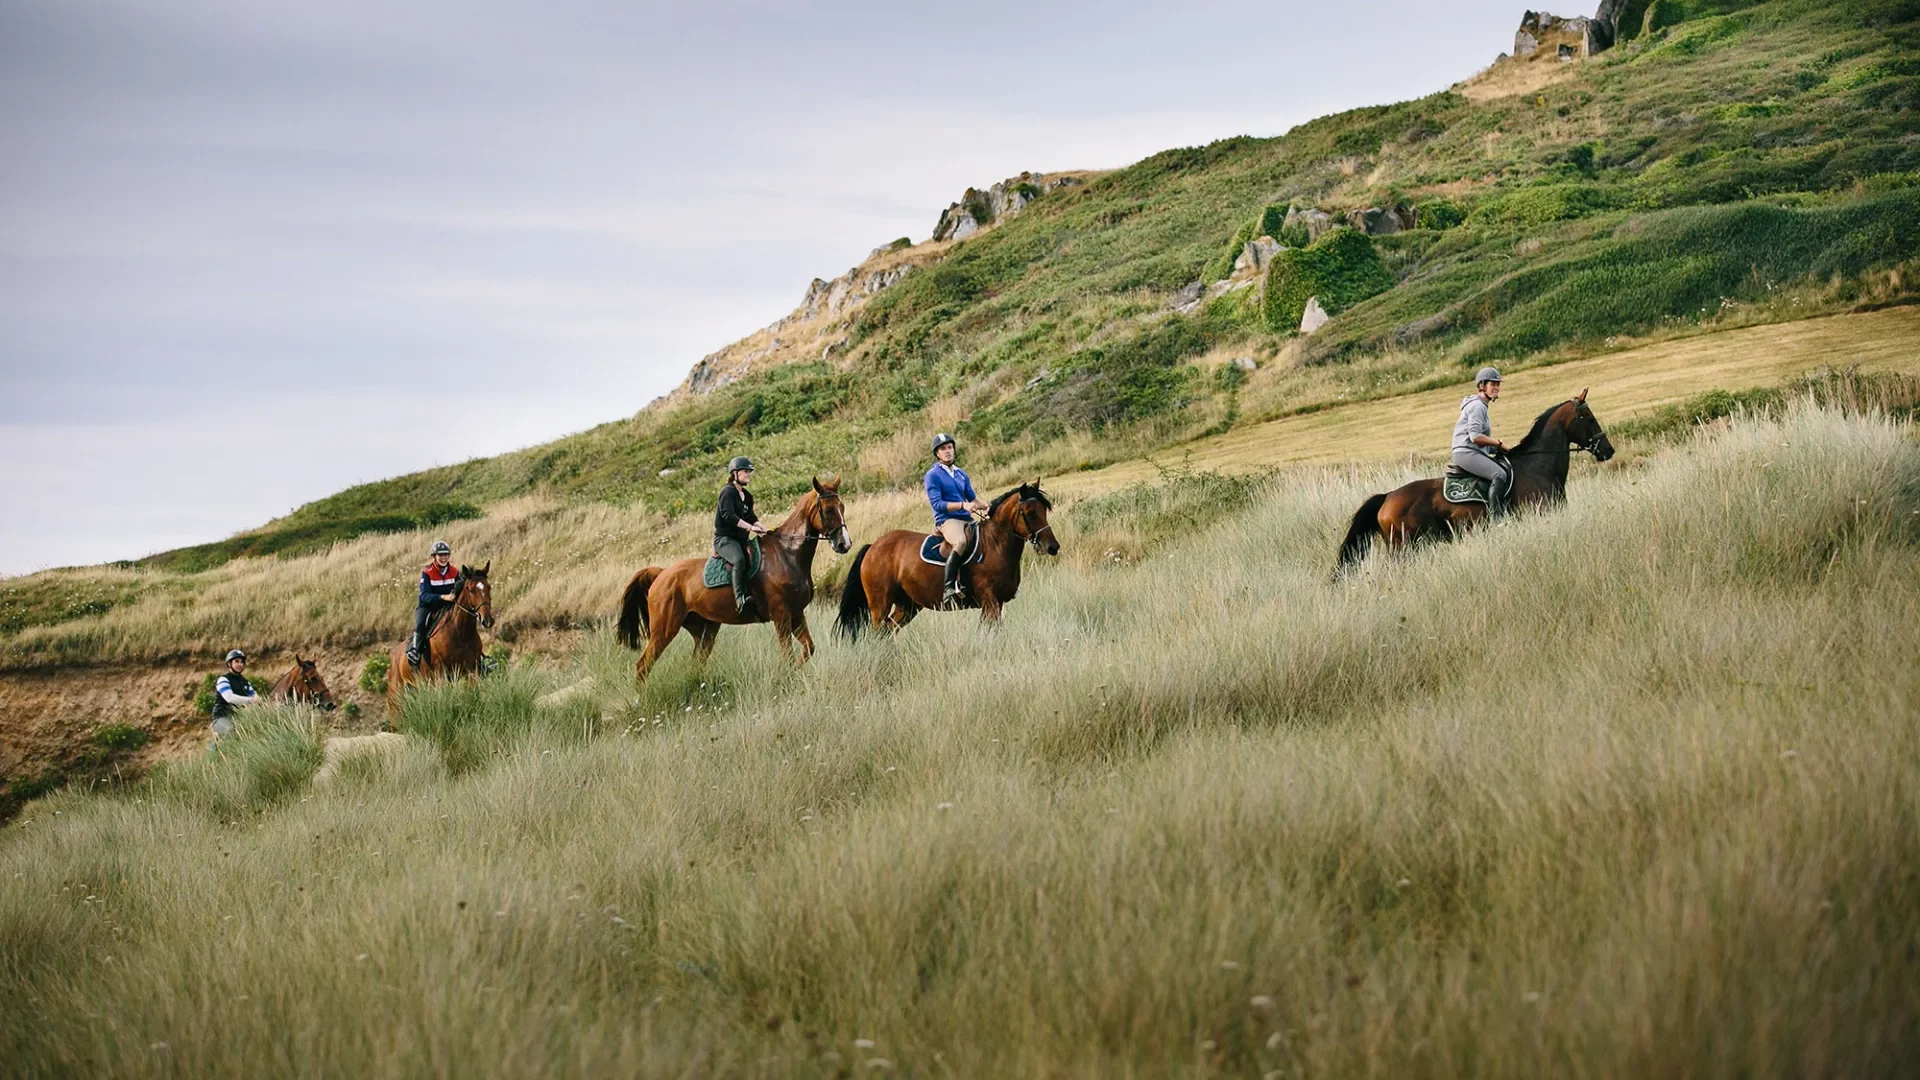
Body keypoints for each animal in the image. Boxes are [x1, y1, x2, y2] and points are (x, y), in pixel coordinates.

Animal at [384, 557, 495, 711]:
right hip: (396, 696)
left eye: (488, 587)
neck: (461, 633)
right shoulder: (441, 673)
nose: (488, 620)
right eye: (470, 589)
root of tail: (394, 655)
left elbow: (475, 694)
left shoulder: (472, 669)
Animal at [618, 474, 852, 684]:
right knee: (643, 665)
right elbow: (787, 655)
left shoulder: (796, 614)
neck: (788, 553)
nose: (845, 544)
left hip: (704, 630)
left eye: (842, 507)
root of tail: (661, 574)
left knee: (696, 662)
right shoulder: (781, 615)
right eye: (829, 510)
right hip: (664, 629)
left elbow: (808, 649)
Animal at [833, 474, 1059, 634]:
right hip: (879, 605)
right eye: (1029, 513)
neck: (994, 545)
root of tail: (873, 547)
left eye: (1044, 510)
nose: (1052, 547)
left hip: (907, 607)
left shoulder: (996, 603)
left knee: (887, 631)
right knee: (876, 632)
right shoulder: (990, 601)